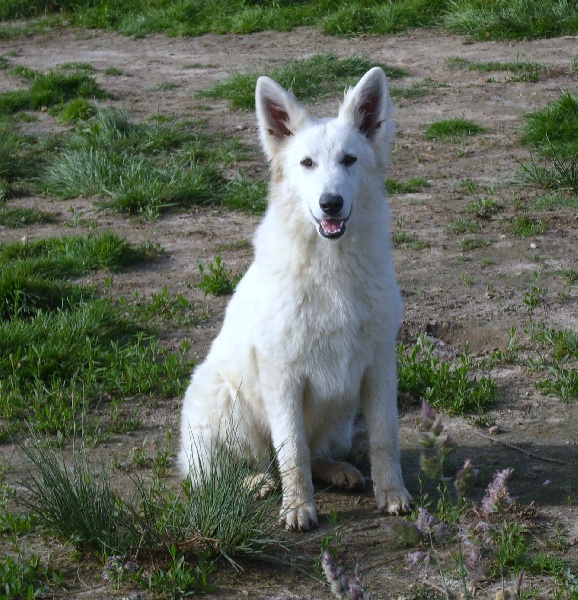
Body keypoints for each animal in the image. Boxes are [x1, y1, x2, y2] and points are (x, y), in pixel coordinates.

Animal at [178, 68, 408, 532]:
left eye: (349, 160)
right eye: (307, 164)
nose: (330, 203)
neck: (331, 268)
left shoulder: (378, 365)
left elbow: (384, 438)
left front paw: (393, 494)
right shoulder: (282, 377)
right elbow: (292, 452)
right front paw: (298, 507)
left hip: (340, 416)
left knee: (317, 453)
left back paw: (338, 470)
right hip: (226, 404)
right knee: (223, 473)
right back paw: (254, 484)